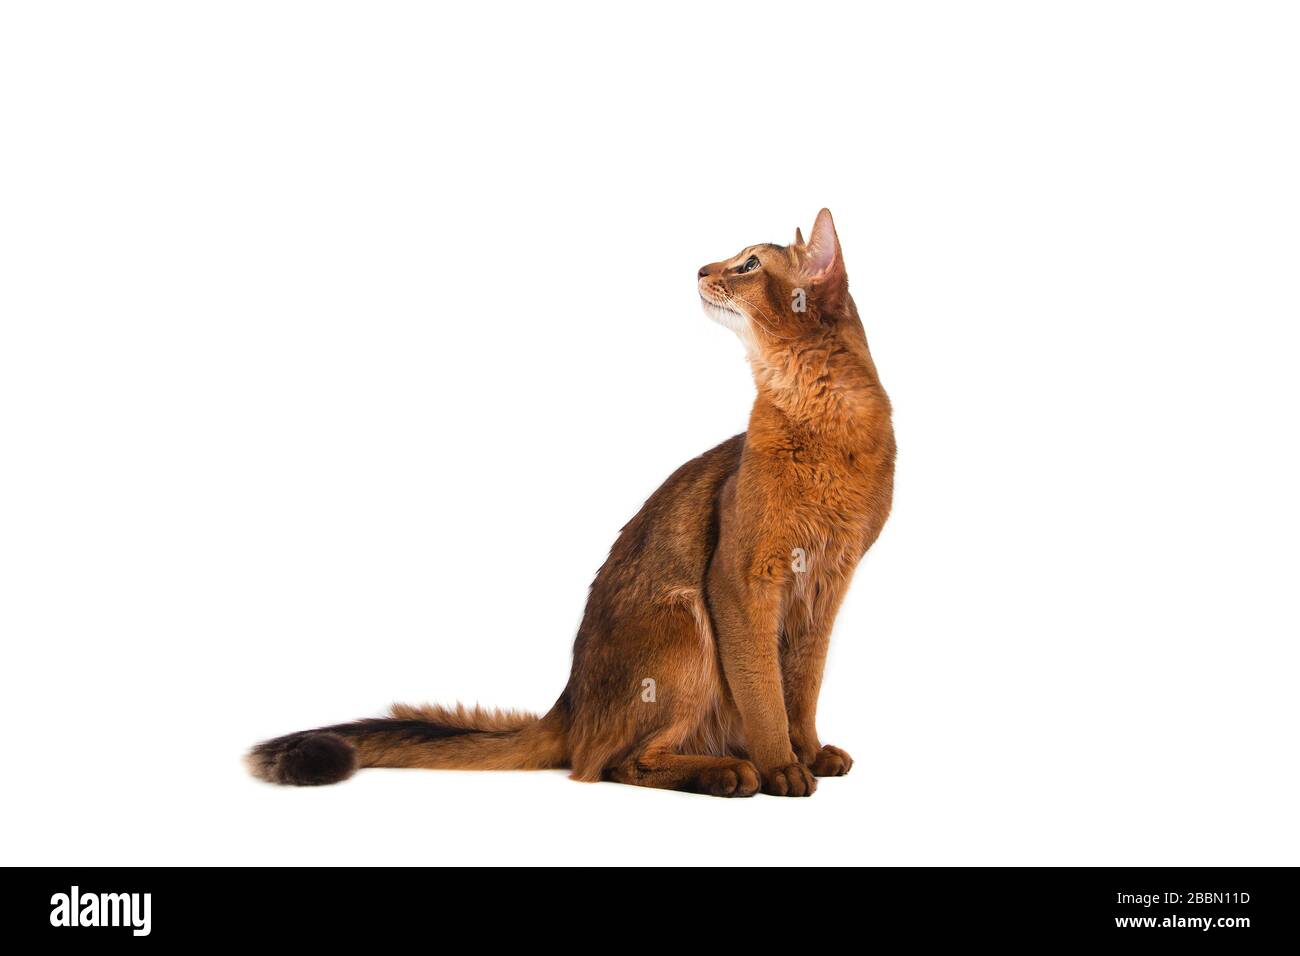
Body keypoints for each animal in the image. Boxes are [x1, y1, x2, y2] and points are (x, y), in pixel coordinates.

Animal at [244, 210, 894, 801]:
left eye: (751, 264)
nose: (702, 270)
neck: (819, 413)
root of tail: (570, 701)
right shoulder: (740, 578)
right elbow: (764, 692)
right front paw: (782, 764)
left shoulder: (828, 584)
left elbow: (801, 688)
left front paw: (807, 751)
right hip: (683, 620)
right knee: (607, 762)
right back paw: (731, 772)